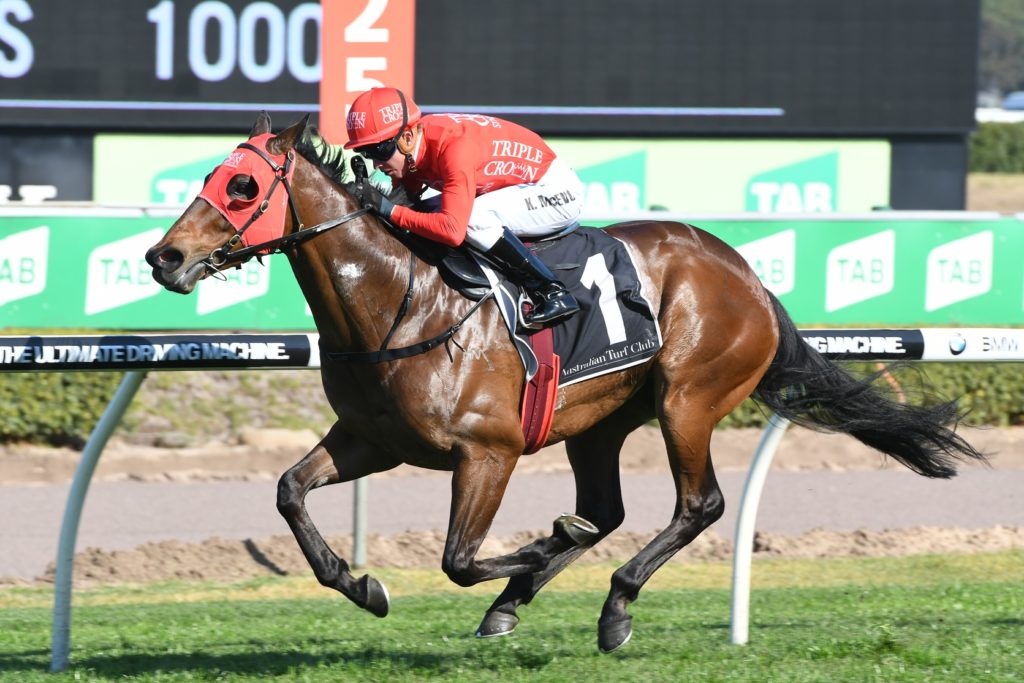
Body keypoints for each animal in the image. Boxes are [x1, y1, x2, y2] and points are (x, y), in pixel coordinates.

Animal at [145, 113, 985, 652]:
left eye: (243, 185)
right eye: (210, 175)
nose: (163, 256)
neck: (403, 301)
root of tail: (745, 272)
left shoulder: (489, 451)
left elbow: (459, 558)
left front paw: (537, 550)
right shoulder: (371, 439)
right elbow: (289, 491)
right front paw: (362, 584)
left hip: (688, 398)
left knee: (699, 504)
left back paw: (612, 605)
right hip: (602, 420)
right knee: (610, 508)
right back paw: (529, 597)